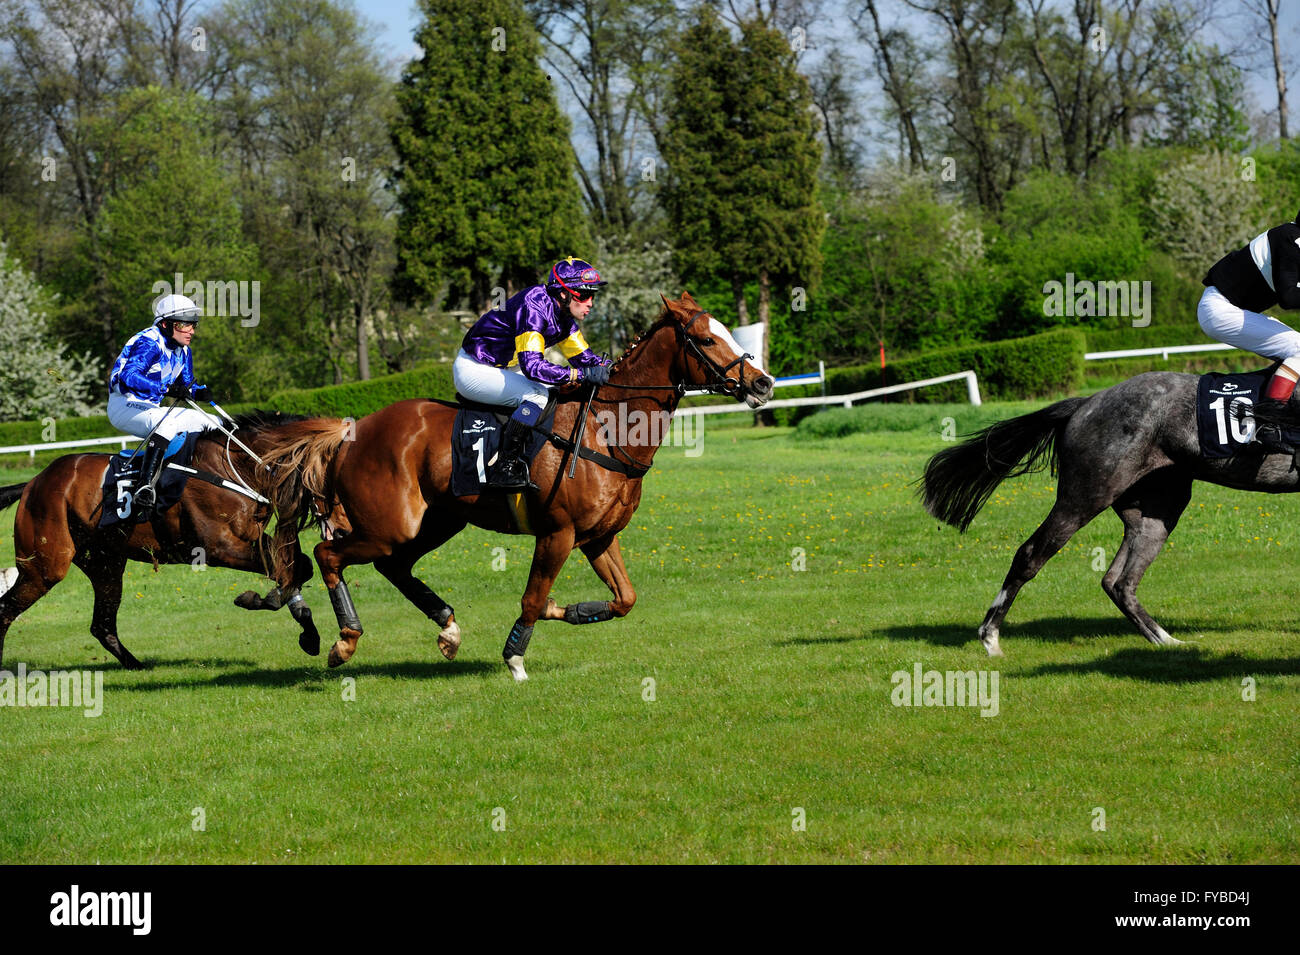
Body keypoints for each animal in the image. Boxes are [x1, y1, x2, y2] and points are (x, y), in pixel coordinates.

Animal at [0, 412, 322, 670]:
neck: (232, 465)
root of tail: (33, 483)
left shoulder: (250, 538)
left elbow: (298, 566)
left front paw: (307, 631)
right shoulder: (218, 547)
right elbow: (289, 568)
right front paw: (261, 599)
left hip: (105, 564)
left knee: (102, 625)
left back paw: (135, 664)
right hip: (45, 566)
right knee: (6, 609)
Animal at [254, 292, 775, 680]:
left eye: (729, 332)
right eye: (706, 338)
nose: (764, 384)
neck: (606, 428)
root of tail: (351, 430)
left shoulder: (599, 535)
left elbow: (623, 600)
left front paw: (569, 611)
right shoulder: (558, 533)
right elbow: (532, 597)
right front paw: (516, 656)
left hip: (436, 522)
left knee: (394, 566)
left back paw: (447, 629)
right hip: (390, 524)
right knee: (329, 555)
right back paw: (343, 641)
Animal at [920, 369, 1300, 656]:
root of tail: (1086, 403)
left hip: (1156, 511)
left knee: (1119, 581)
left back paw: (1166, 641)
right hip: (1086, 495)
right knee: (1031, 555)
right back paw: (990, 638)